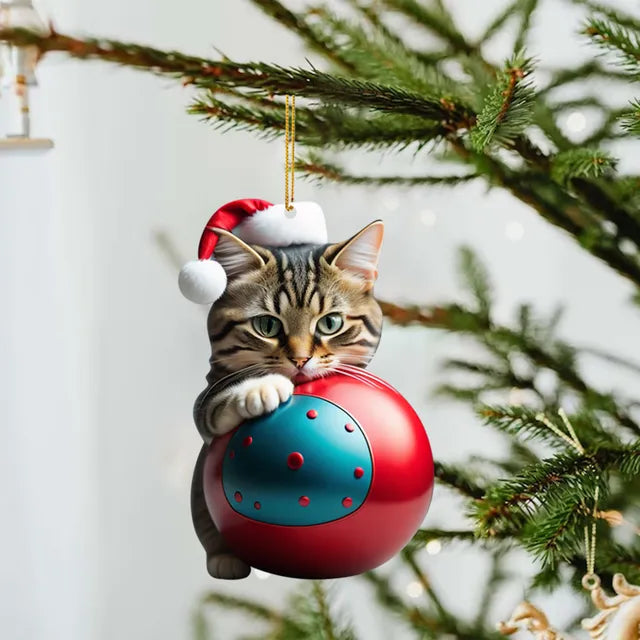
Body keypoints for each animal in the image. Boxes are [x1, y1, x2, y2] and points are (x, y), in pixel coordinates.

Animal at [190, 220, 384, 580]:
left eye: (330, 323)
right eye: (266, 325)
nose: (300, 359)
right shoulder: (205, 397)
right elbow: (217, 403)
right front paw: (259, 389)